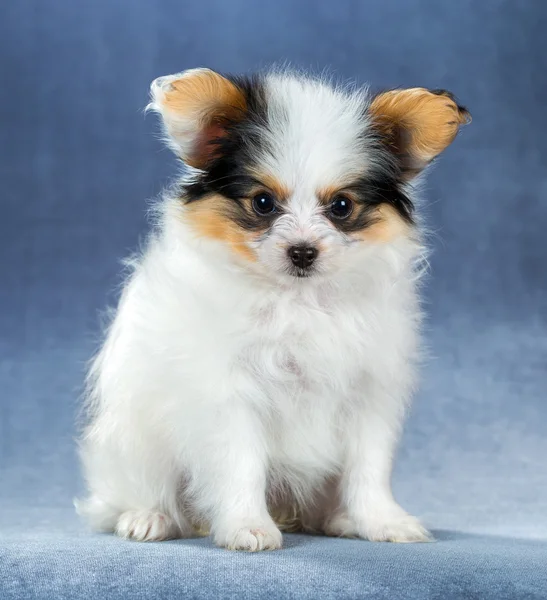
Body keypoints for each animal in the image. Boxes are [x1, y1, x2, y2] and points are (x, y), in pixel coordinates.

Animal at [77, 68, 470, 552]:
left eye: (342, 206)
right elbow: (242, 464)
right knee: (145, 489)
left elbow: (369, 469)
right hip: (134, 441)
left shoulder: (369, 392)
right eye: (263, 202)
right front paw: (248, 526)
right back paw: (150, 517)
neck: (299, 300)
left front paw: (382, 521)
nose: (302, 251)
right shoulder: (230, 394)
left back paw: (339, 519)